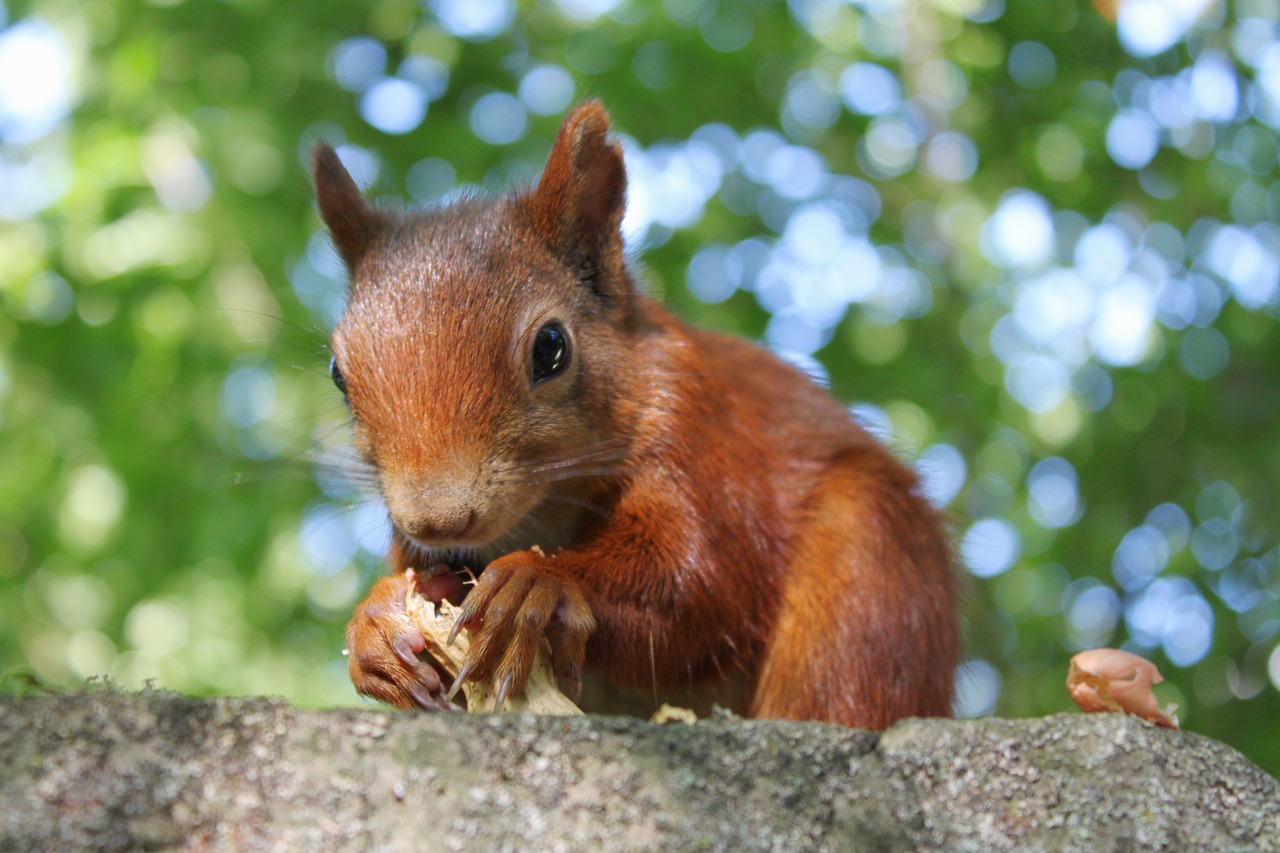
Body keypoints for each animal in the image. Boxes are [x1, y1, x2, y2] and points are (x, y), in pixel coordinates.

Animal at [309, 99, 957, 722]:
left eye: (551, 347)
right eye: (338, 373)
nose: (437, 521)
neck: (546, 509)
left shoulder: (700, 444)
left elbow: (698, 588)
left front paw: (542, 583)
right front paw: (374, 624)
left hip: (869, 573)